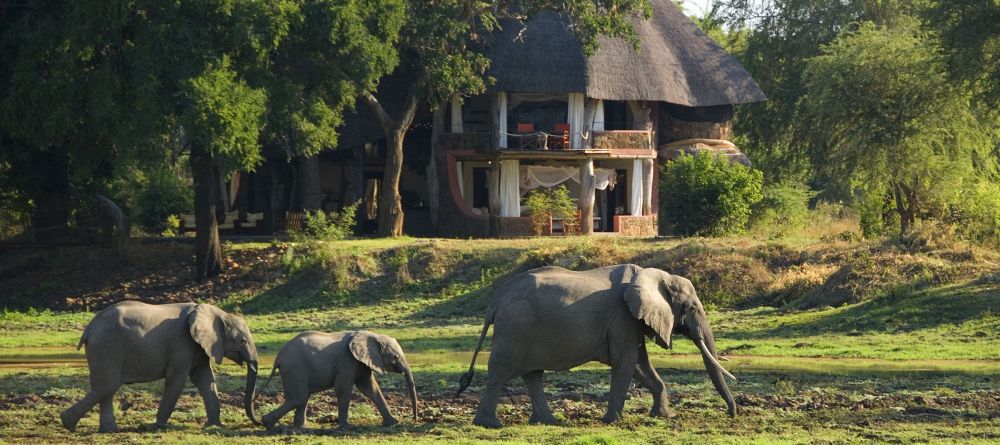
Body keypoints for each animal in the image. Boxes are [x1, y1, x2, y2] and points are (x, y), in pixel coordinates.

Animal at [58, 300, 262, 432]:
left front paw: (213, 426)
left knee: (106, 389)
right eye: (243, 341)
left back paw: (107, 431)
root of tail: (88, 329)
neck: (217, 312)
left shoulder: (198, 346)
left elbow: (206, 380)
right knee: (107, 387)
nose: (259, 422)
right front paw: (157, 426)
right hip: (107, 347)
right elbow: (177, 380)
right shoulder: (183, 343)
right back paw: (68, 424)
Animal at [260, 328, 416, 428]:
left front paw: (393, 423)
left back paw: (301, 427)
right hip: (295, 369)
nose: (415, 419)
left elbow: (370, 388)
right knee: (299, 398)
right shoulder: (347, 361)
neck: (373, 335)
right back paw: (267, 424)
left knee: (302, 398)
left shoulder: (360, 362)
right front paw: (346, 427)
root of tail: (279, 357)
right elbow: (343, 388)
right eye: (395, 357)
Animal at [458, 264, 736, 426]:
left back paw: (548, 422)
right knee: (500, 373)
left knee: (533, 375)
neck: (654, 275)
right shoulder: (622, 316)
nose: (732, 414)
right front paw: (612, 421)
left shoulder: (630, 320)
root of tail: (496, 300)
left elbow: (640, 364)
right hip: (514, 330)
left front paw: (662, 416)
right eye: (692, 308)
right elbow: (626, 363)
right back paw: (489, 425)